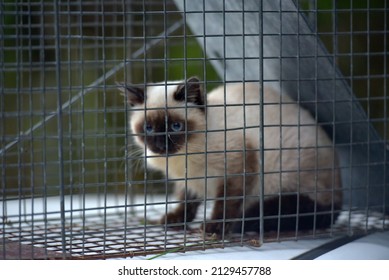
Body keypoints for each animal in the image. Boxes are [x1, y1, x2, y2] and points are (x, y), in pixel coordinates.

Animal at [123, 76, 342, 236]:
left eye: (176, 126)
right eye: (148, 128)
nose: (161, 145)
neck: (184, 156)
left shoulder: (237, 169)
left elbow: (225, 205)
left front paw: (214, 228)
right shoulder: (190, 181)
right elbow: (186, 201)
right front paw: (175, 220)